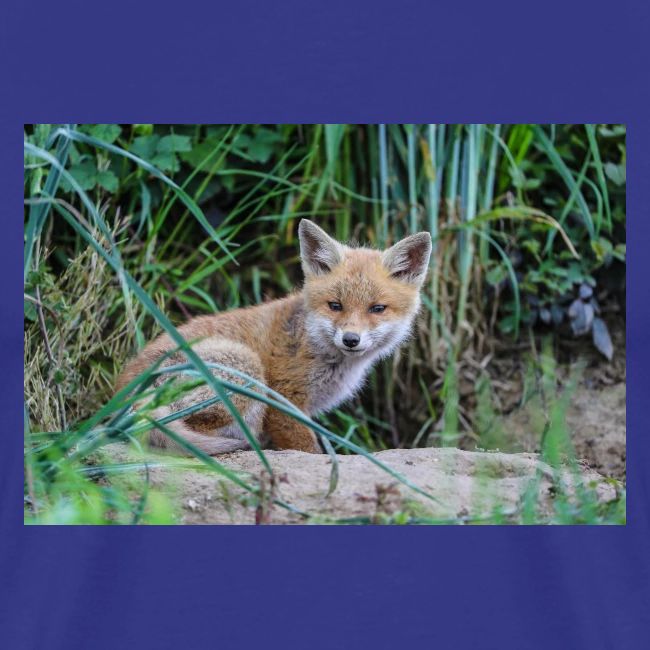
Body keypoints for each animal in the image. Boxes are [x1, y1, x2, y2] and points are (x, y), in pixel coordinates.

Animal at [116, 219, 432, 455]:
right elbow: (308, 449)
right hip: (246, 368)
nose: (351, 339)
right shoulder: (283, 401)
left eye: (377, 309)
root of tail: (124, 396)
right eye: (335, 305)